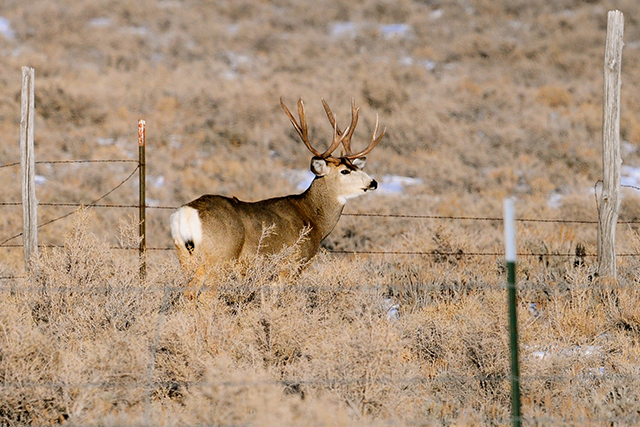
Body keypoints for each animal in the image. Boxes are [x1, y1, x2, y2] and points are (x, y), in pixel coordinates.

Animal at [170, 97, 385, 297]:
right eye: (344, 171)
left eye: (356, 167)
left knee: (188, 293)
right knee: (206, 296)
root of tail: (187, 213)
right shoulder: (292, 263)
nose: (373, 182)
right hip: (220, 257)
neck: (312, 218)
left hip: (185, 257)